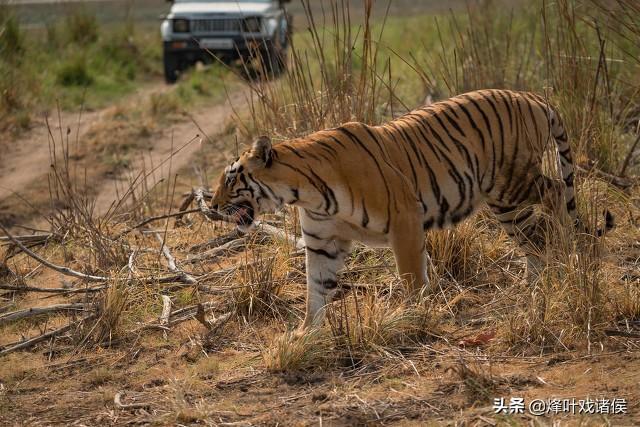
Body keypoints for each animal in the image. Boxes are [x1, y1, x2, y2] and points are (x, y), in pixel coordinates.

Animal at [209, 88, 608, 332]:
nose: (211, 207)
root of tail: (531, 95)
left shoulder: (404, 221)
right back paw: (536, 280)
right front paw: (305, 334)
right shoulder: (324, 241)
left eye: (230, 179)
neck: (302, 192)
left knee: (556, 193)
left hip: (513, 182)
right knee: (532, 236)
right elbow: (316, 289)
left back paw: (563, 253)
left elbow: (411, 276)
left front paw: (413, 315)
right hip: (505, 202)